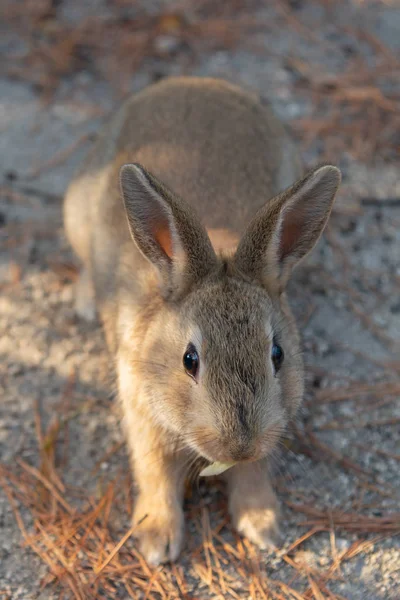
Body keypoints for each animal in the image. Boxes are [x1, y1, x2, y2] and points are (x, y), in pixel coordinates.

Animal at [63, 77, 340, 564]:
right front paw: (157, 539)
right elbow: (154, 473)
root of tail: (191, 82)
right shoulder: (142, 417)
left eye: (278, 354)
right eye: (189, 360)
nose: (238, 444)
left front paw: (263, 525)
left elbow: (253, 473)